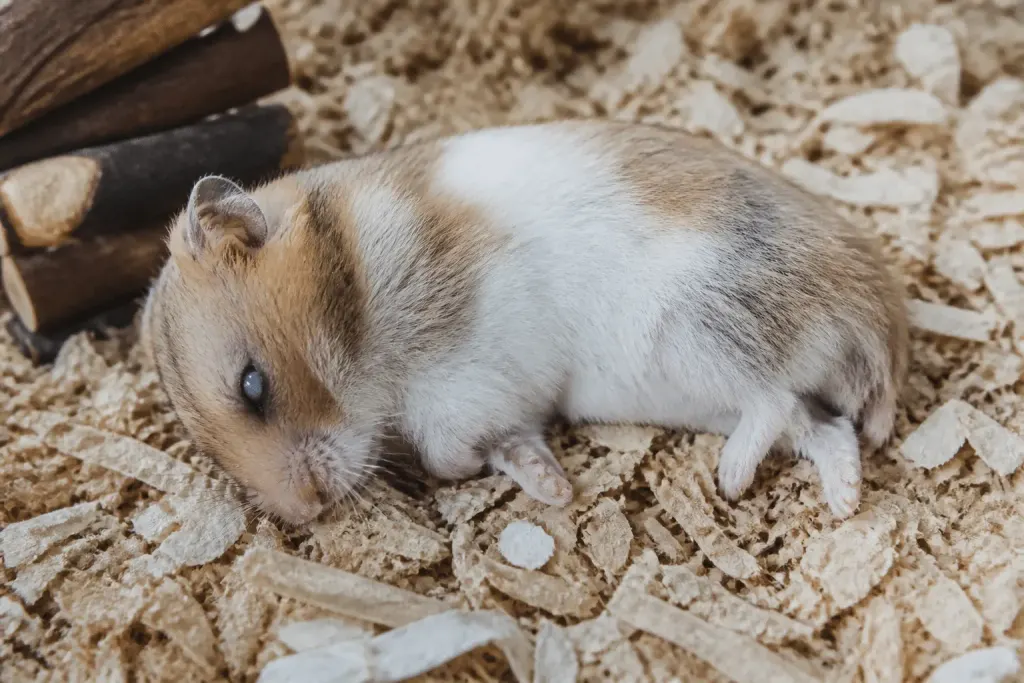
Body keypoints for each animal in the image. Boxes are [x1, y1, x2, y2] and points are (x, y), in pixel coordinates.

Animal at [141, 120, 909, 526]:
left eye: (253, 386)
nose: (306, 507)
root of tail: (877, 312)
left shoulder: (466, 359)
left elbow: (444, 445)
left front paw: (518, 479)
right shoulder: (498, 400)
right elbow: (495, 441)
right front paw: (552, 486)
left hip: (698, 331)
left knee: (773, 400)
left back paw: (732, 480)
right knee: (827, 430)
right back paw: (844, 502)